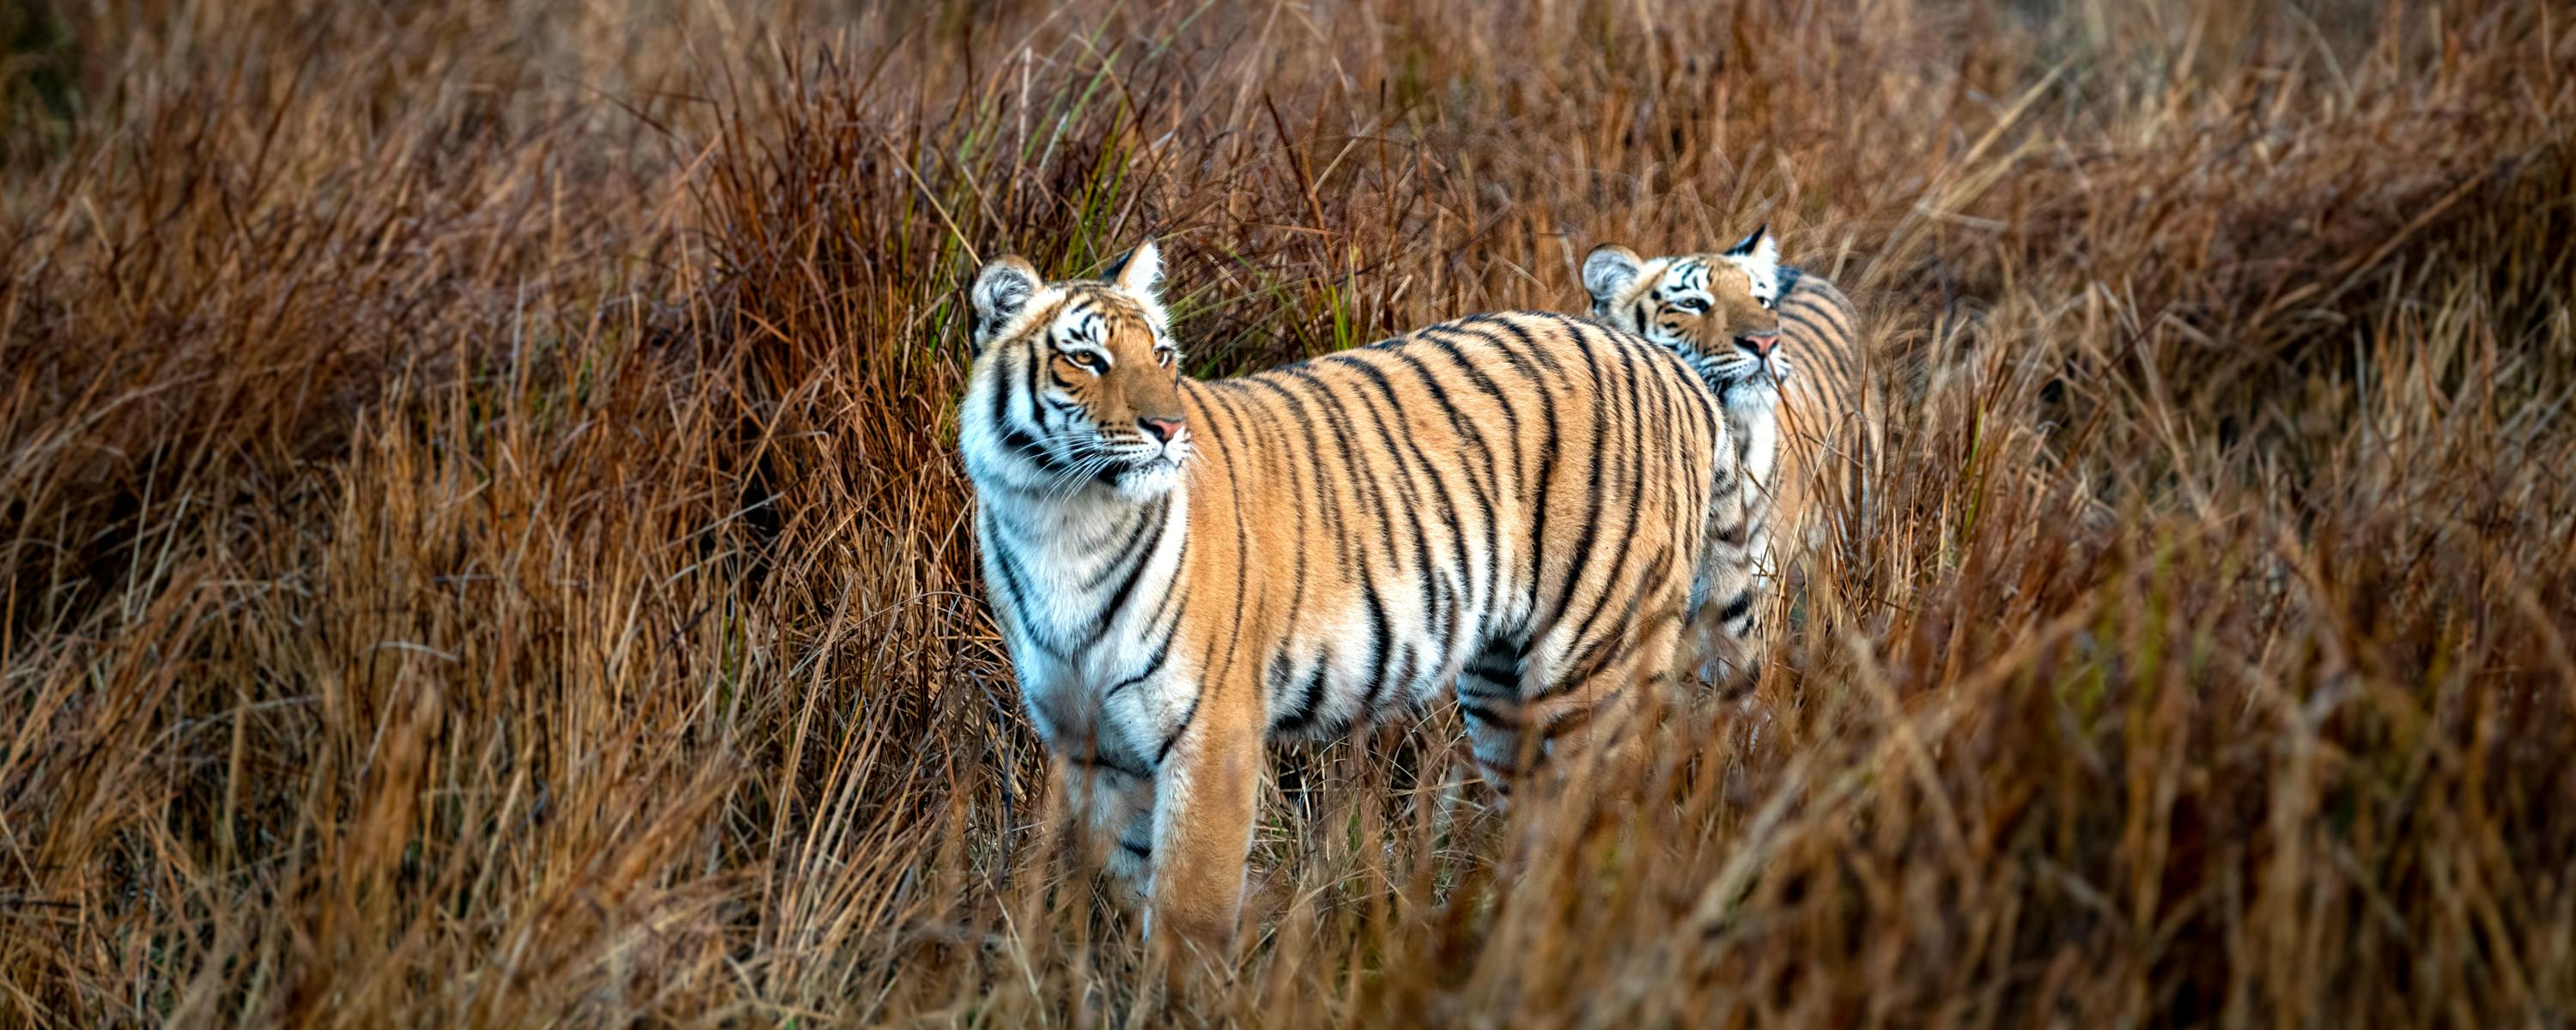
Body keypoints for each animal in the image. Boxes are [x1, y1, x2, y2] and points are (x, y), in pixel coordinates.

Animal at [961, 239, 1760, 952]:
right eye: (1086, 359)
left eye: (1161, 355)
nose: (1168, 428)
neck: (1062, 520)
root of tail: (1670, 367)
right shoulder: (1093, 749)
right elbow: (1134, 889)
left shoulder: (1211, 740)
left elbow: (1188, 912)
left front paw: (1177, 999)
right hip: (1503, 694)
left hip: (1594, 675)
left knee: (1607, 830)